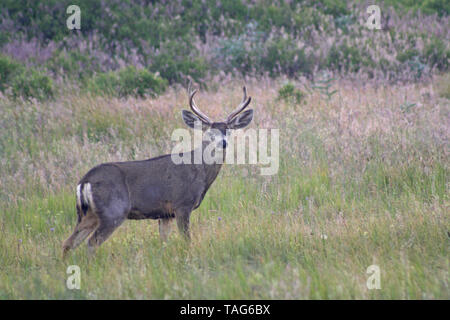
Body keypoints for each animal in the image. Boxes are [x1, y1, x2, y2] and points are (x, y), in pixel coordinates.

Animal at [62, 84, 253, 255]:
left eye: (228, 131)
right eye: (209, 133)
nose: (223, 143)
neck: (200, 171)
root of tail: (84, 181)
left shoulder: (165, 214)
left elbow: (163, 242)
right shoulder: (182, 205)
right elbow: (187, 241)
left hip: (88, 214)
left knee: (69, 242)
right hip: (113, 211)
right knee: (91, 243)